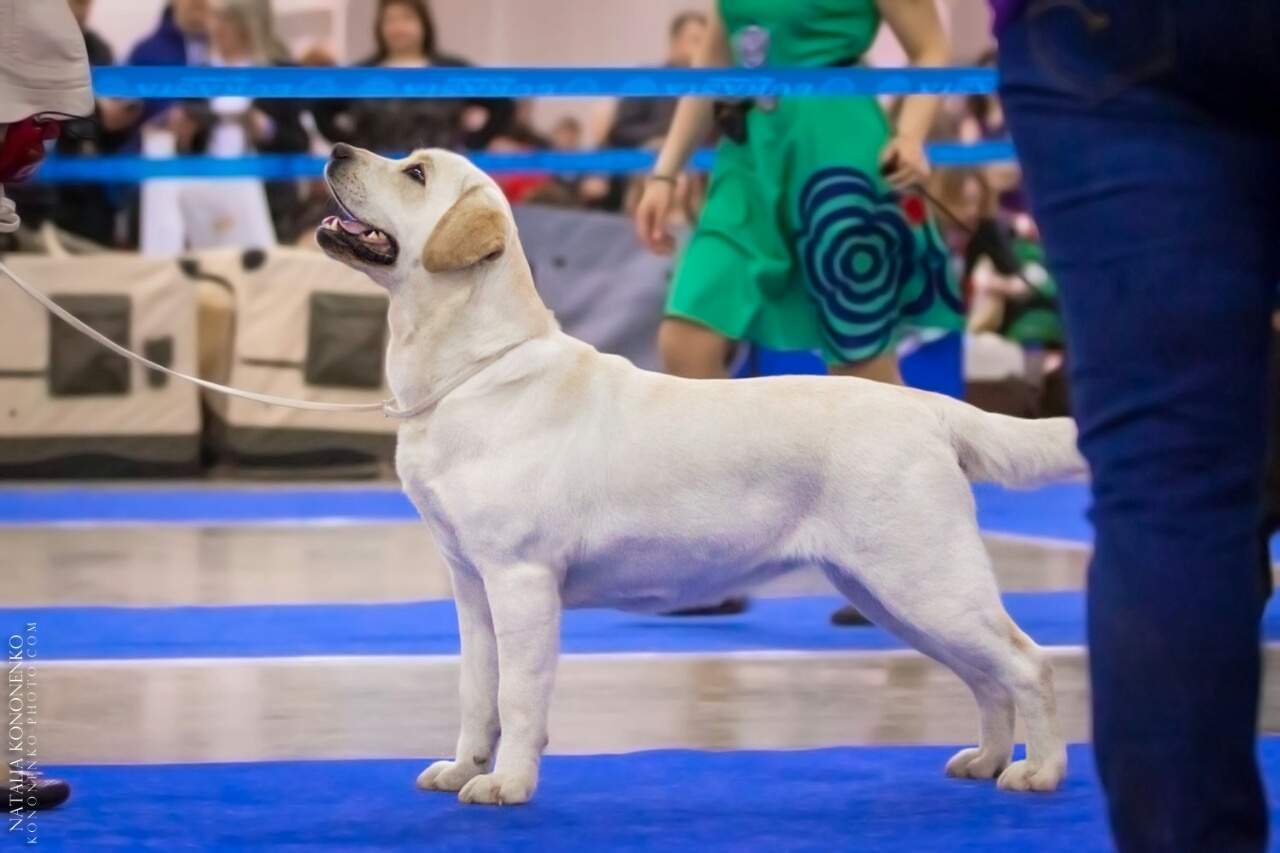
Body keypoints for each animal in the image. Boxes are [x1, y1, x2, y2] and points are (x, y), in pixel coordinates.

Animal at [317, 143, 1085, 806]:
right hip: (889, 592)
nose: (337, 150)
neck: (473, 368)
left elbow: (519, 694)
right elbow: (477, 691)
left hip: (926, 579)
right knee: (986, 677)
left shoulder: (521, 578)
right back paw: (986, 760)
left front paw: (507, 783)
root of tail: (928, 405)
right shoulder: (471, 584)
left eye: (415, 173)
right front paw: (462, 768)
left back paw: (1039, 772)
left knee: (1029, 663)